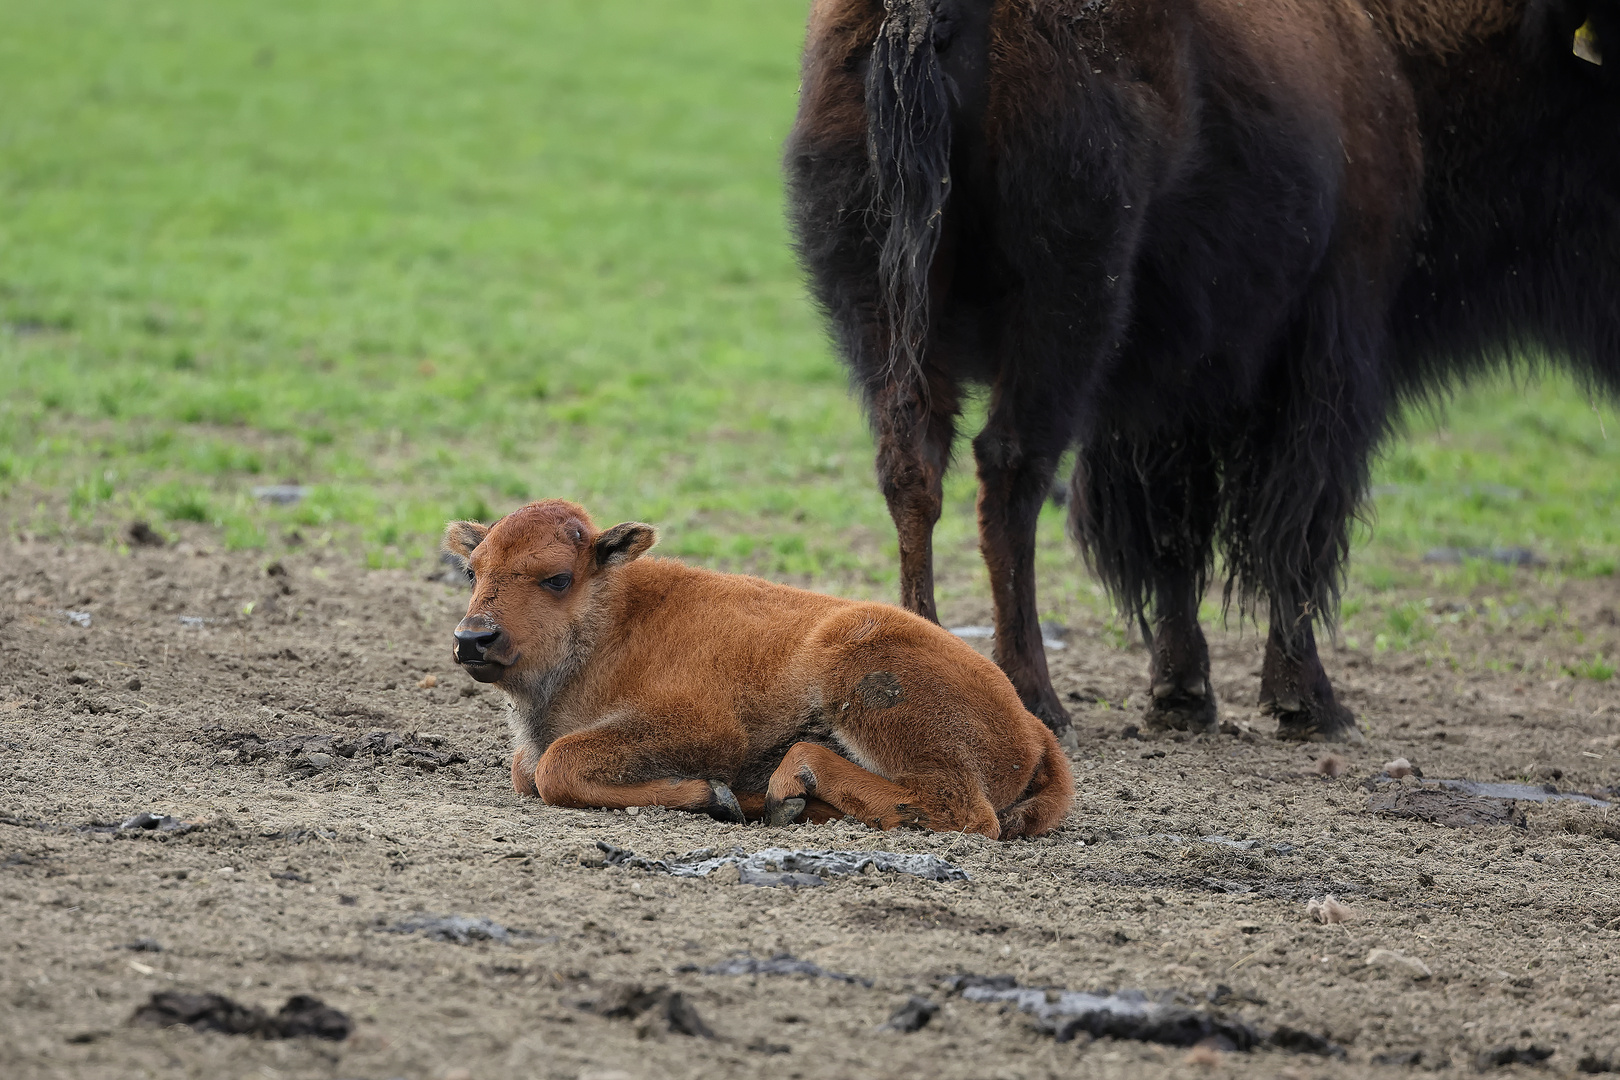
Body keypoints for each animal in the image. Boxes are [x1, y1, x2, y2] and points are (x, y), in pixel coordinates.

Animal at [443, 501, 1075, 841]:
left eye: (556, 578)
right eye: (472, 572)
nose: (473, 639)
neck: (614, 619)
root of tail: (1030, 725)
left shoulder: (706, 728)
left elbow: (554, 766)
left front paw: (713, 796)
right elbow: (528, 769)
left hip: (866, 677)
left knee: (965, 811)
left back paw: (791, 785)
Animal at [784, 0, 1620, 744]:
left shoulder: (1164, 388)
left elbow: (1173, 533)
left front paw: (1183, 695)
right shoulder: (1329, 347)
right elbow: (1294, 530)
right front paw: (1310, 704)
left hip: (890, 310)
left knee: (914, 467)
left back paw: (924, 655)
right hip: (1063, 306)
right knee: (1010, 471)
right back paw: (1036, 698)